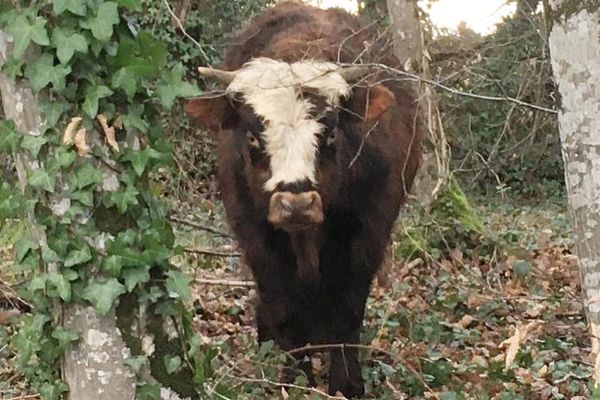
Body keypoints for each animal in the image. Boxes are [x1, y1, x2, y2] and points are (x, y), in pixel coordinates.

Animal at [184, 2, 422, 396]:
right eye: (252, 136)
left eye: (330, 133)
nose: (296, 204)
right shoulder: (255, 235)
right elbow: (283, 307)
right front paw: (293, 379)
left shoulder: (368, 234)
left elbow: (347, 310)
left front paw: (346, 382)